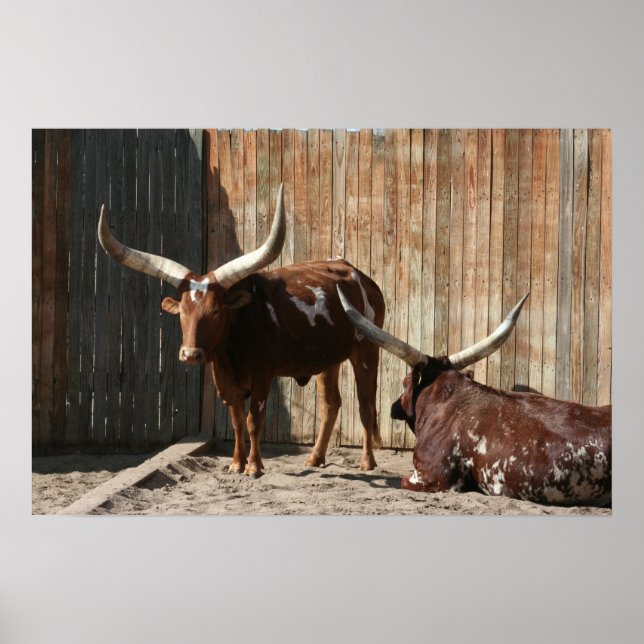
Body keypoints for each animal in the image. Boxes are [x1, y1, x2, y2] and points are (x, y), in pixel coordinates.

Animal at [98, 184, 385, 476]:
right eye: (182, 311)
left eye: (215, 311)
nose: (190, 354)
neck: (232, 346)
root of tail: (359, 275)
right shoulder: (226, 382)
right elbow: (236, 421)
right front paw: (237, 463)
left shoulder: (262, 377)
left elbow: (253, 420)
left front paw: (254, 466)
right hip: (328, 359)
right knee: (330, 404)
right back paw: (315, 458)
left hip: (367, 350)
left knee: (366, 405)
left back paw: (367, 461)